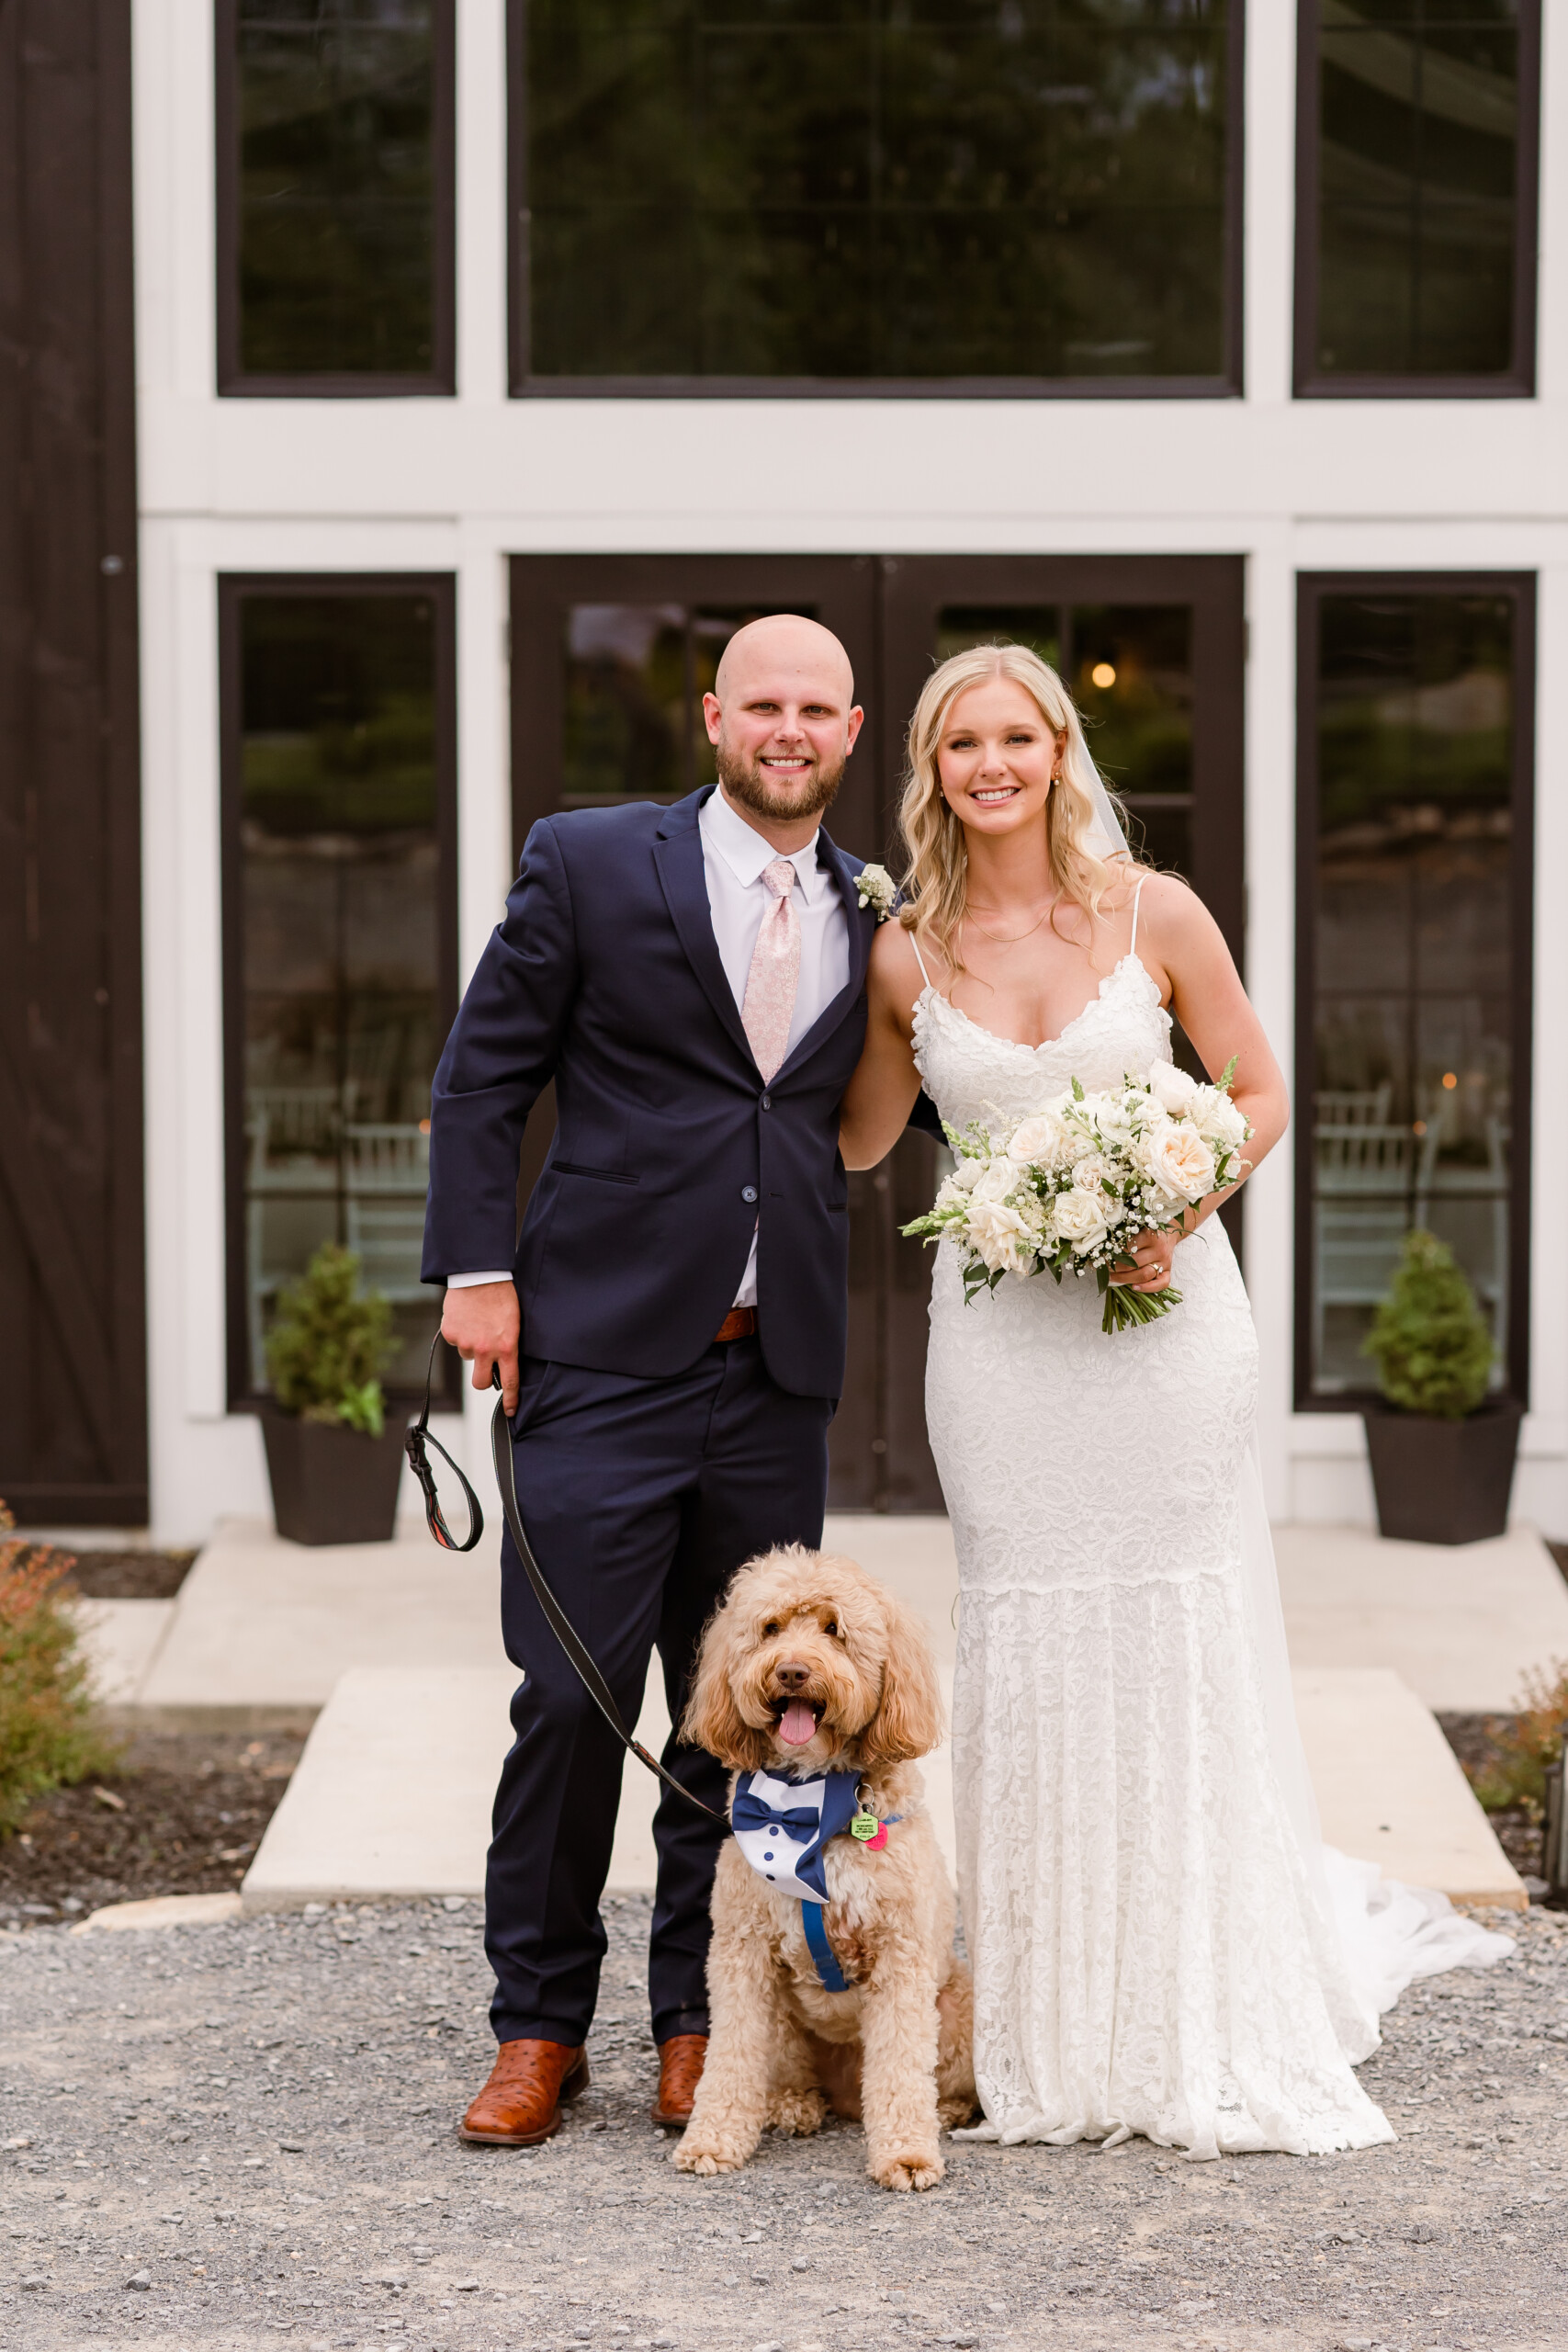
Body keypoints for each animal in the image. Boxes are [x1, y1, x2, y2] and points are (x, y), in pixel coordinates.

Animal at [677, 1552, 973, 2191]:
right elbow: (731, 2056)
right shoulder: (741, 1954)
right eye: (770, 1629)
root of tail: (844, 2093)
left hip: (958, 2006)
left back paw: (946, 2110)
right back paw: (793, 2105)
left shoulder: (901, 1956)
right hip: (786, 2024)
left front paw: (907, 2155)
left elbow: (901, 2068)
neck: (809, 1802)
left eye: (835, 1629)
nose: (790, 1671)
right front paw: (712, 2140)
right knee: (787, 2073)